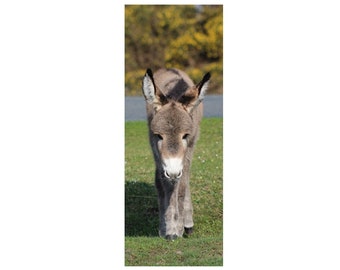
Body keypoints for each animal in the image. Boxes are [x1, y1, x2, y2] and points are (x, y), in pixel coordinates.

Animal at [141, 68, 210, 240]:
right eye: (159, 136)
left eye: (185, 135)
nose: (172, 172)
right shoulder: (157, 151)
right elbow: (162, 185)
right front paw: (165, 229)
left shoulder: (188, 148)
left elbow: (181, 187)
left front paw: (176, 230)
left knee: (184, 179)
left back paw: (188, 224)